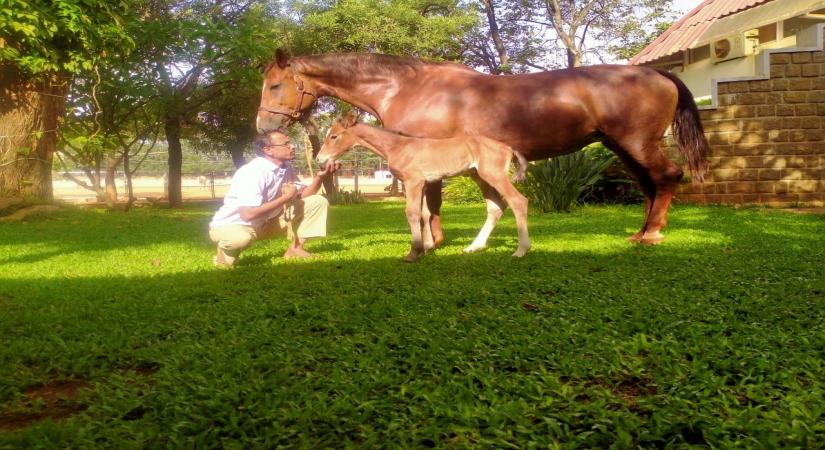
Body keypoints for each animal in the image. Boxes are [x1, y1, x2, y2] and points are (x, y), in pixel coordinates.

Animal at [257, 50, 709, 245]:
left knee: (667, 178)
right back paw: (641, 231)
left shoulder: (427, 159)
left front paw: (432, 243)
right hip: (623, 148)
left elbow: (430, 205)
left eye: (275, 85)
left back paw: (652, 234)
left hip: (637, 144)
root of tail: (657, 72)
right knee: (650, 186)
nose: (264, 127)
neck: (409, 87)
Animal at [317, 112, 530, 262]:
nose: (320, 159)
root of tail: (508, 148)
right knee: (496, 207)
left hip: (494, 175)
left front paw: (414, 252)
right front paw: (427, 248)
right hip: (479, 177)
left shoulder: (413, 182)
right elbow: (425, 213)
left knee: (518, 201)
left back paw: (521, 250)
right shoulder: (424, 184)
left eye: (334, 136)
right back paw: (474, 246)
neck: (398, 147)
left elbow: (412, 213)